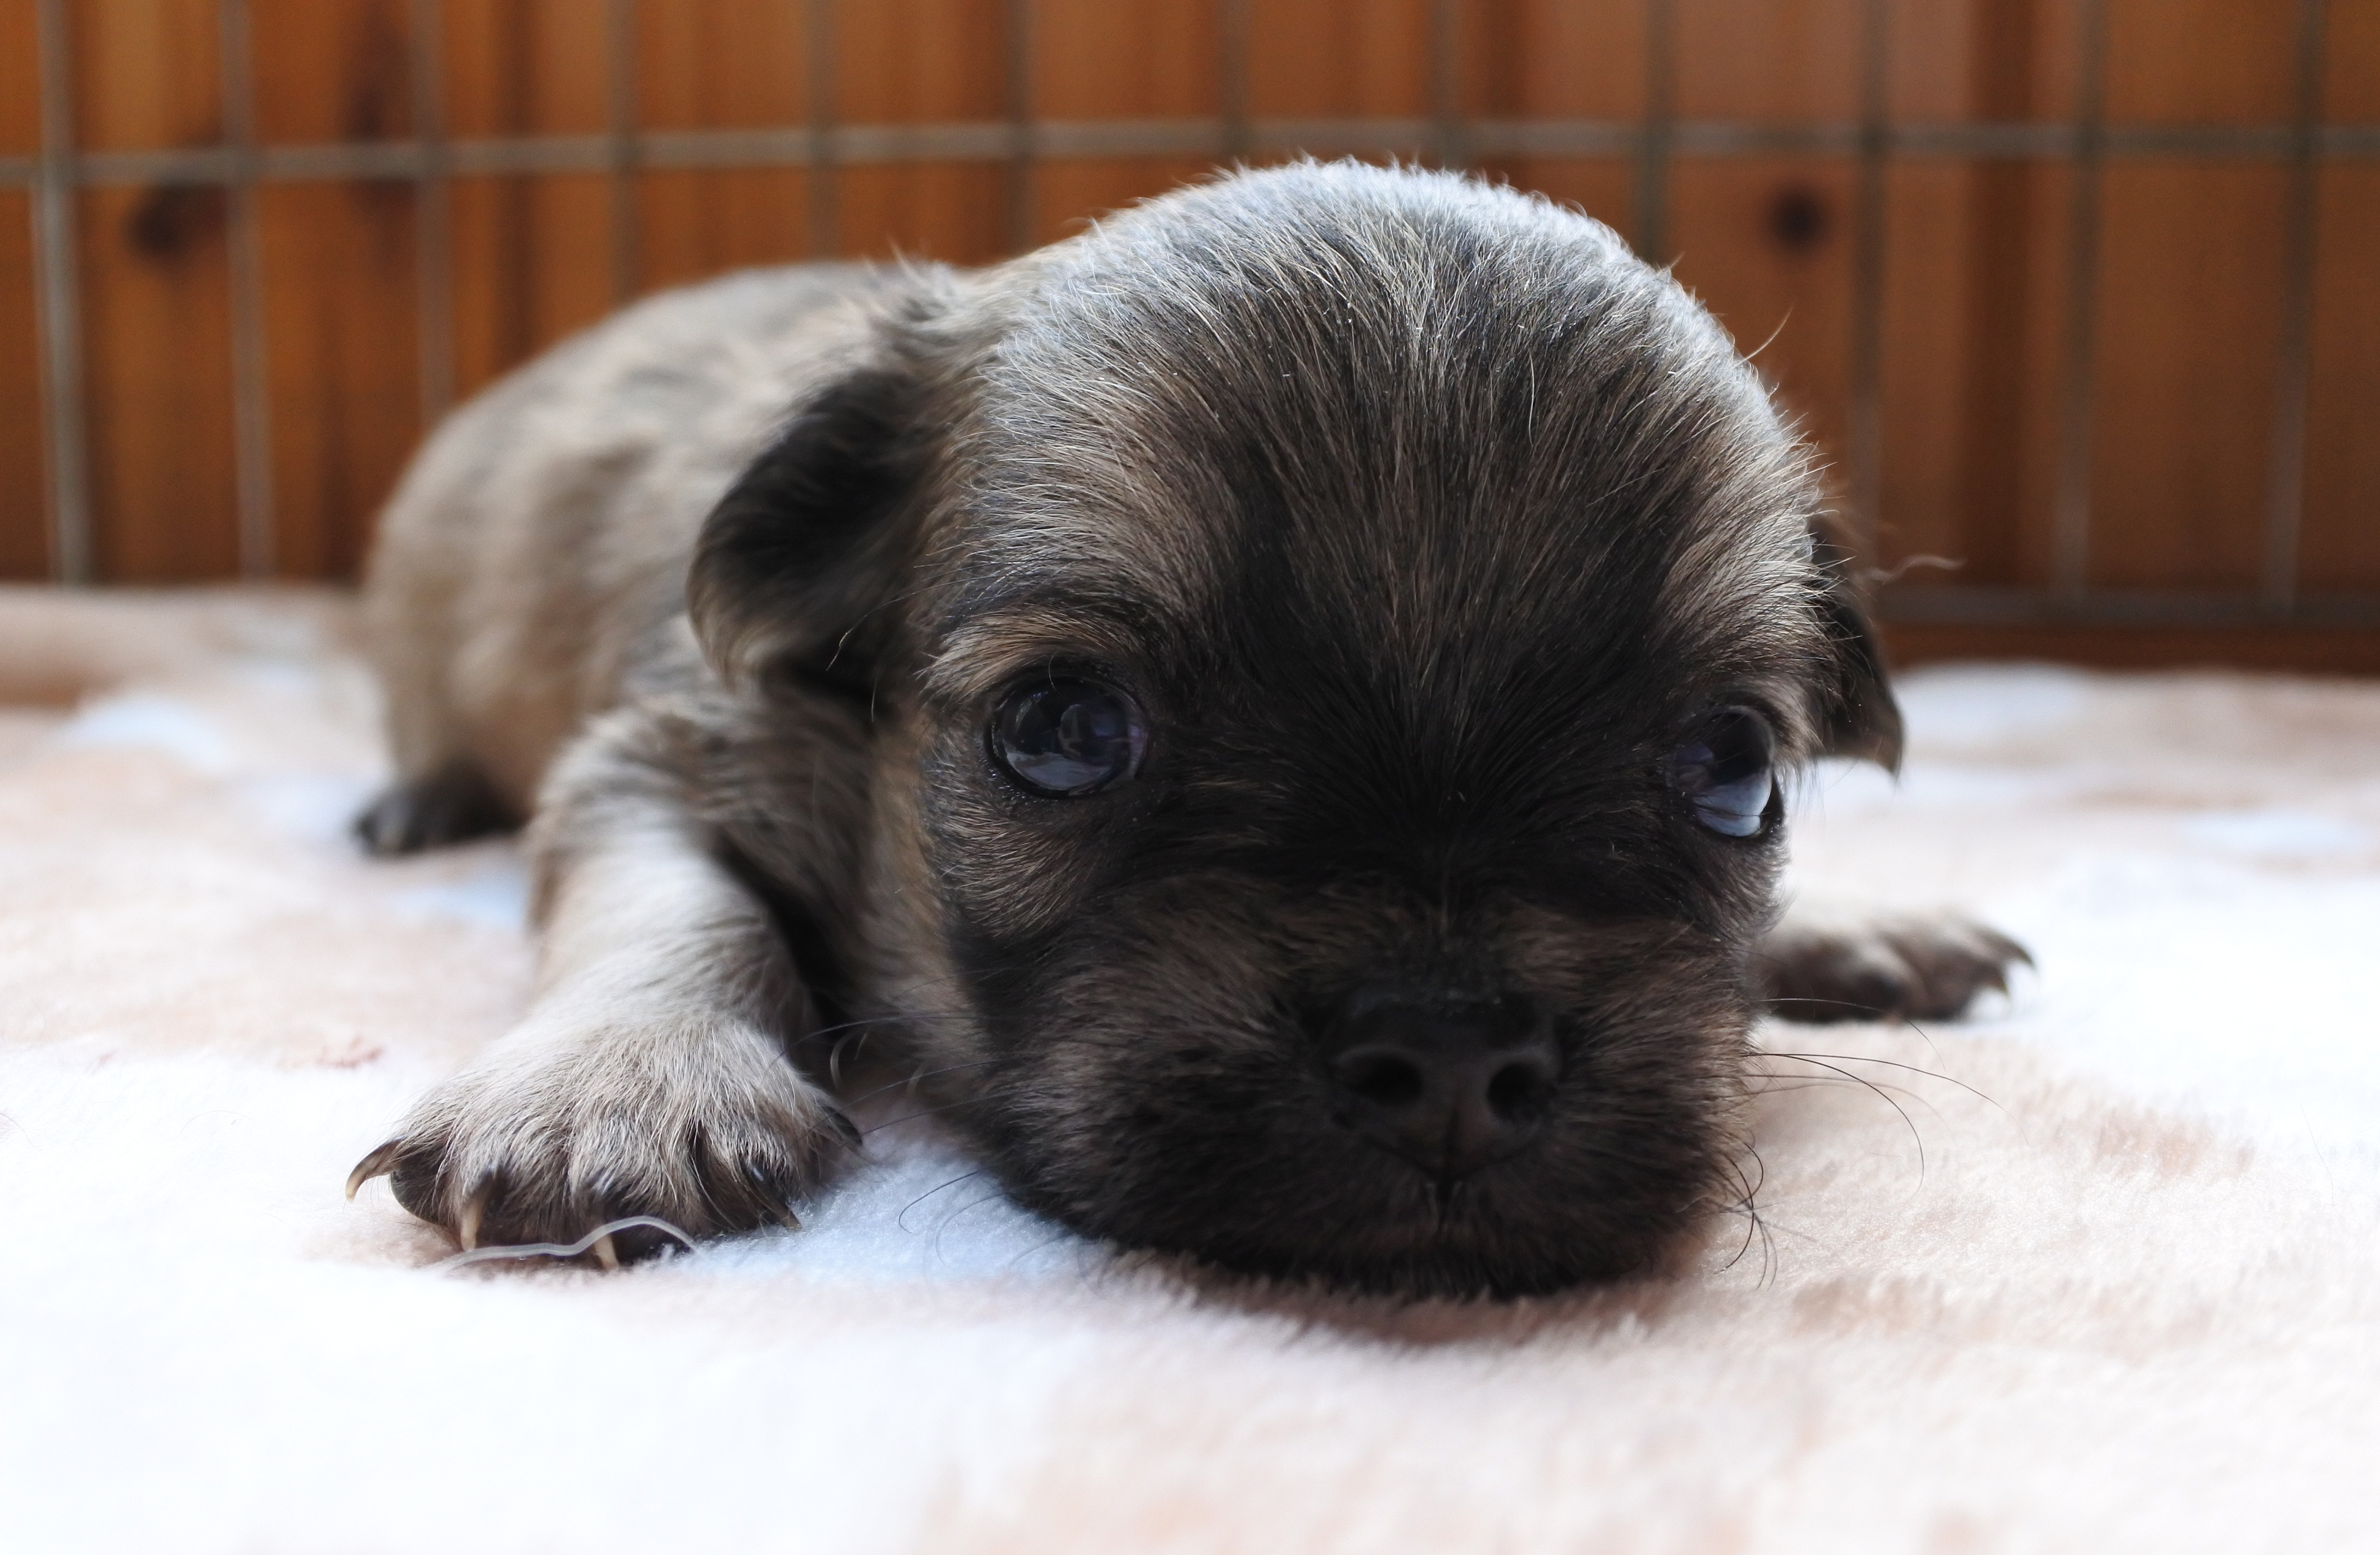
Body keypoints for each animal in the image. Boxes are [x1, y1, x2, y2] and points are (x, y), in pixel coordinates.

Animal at [347, 160, 2028, 1295]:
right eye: (1063, 729)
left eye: (1734, 771)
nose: (1450, 1054)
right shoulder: (673, 755)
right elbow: (676, 907)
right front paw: (616, 1079)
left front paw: (1848, 926)